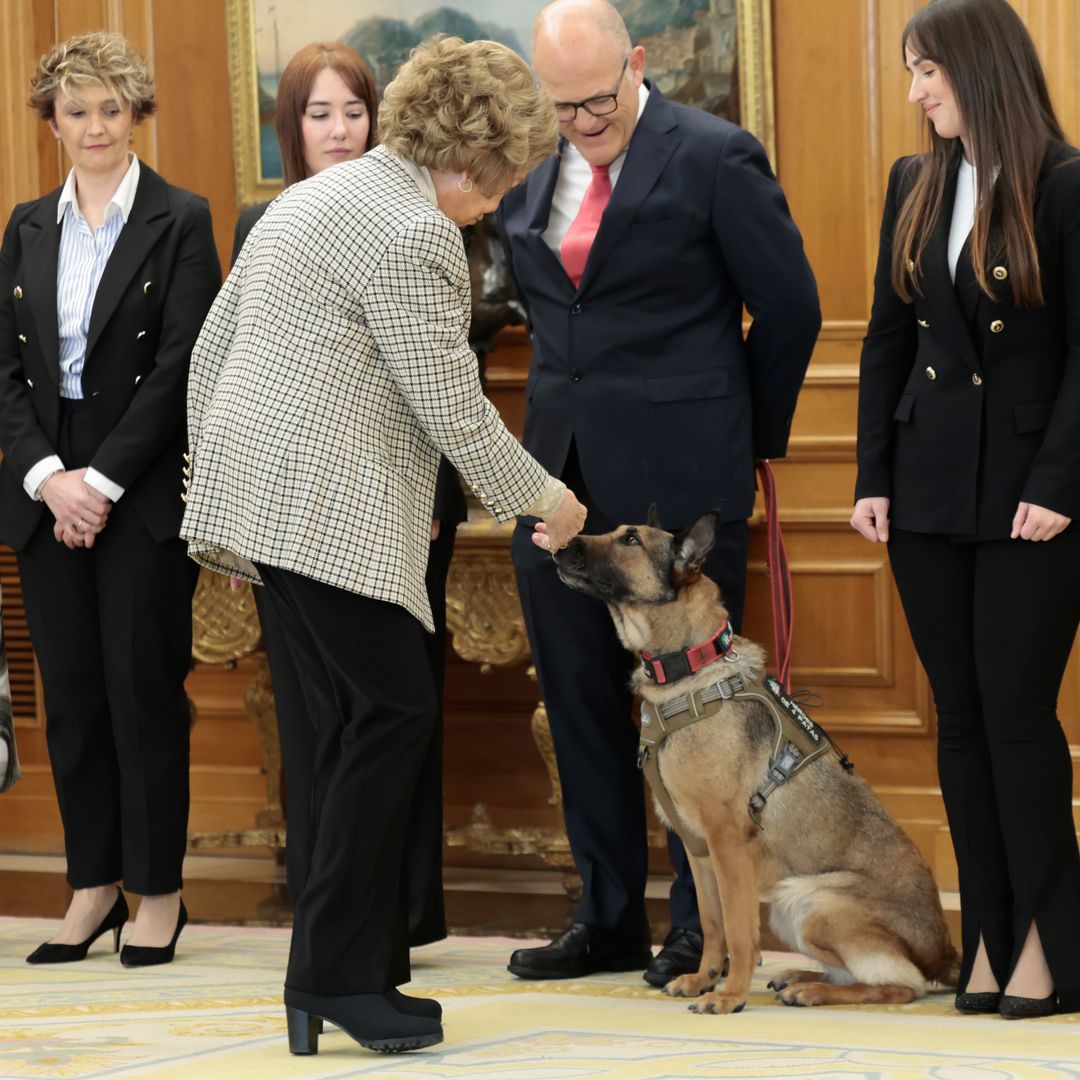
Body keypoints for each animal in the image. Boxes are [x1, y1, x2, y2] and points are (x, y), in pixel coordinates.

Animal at [552, 511, 959, 1010]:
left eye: (630, 539)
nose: (558, 545)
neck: (688, 669)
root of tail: (944, 952)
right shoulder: (698, 851)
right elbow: (712, 926)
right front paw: (704, 979)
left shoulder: (728, 844)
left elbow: (739, 931)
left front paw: (729, 996)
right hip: (790, 909)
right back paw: (800, 977)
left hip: (812, 904)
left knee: (903, 985)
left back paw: (814, 990)